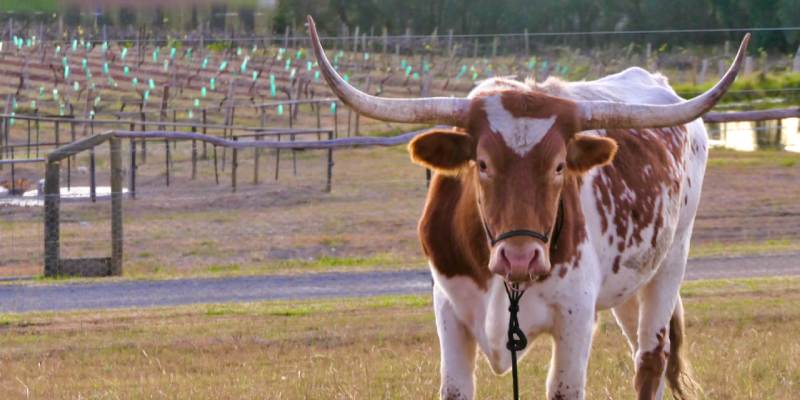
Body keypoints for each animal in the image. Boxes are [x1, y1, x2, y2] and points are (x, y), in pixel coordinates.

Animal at [306, 16, 744, 400]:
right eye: (482, 164)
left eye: (559, 165)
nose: (520, 258)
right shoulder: (449, 310)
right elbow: (455, 388)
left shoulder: (576, 317)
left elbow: (566, 389)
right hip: (629, 282)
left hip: (672, 259)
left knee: (651, 359)